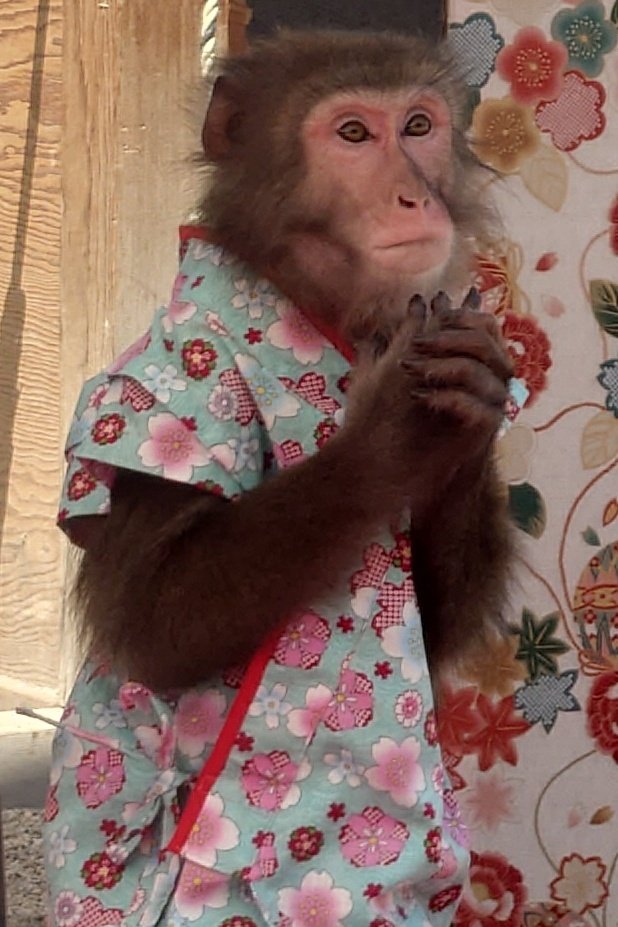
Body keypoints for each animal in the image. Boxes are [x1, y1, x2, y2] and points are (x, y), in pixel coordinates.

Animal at [45, 30, 517, 927]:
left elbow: (431, 629)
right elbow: (157, 624)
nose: (415, 196)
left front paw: (471, 403)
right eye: (354, 134)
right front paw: (394, 429)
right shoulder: (161, 384)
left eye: (418, 124)